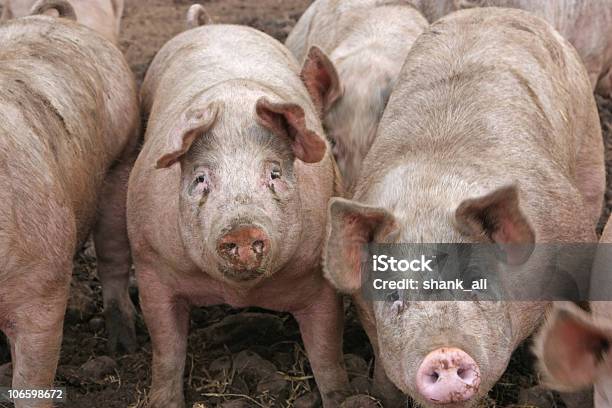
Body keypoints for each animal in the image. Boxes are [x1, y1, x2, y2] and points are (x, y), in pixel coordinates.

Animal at [0, 3, 139, 408]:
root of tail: (58, 20)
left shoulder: (42, 285)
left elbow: (32, 380)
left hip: (122, 160)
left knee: (113, 255)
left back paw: (125, 344)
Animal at [128, 15, 350, 408]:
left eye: (274, 173)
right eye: (201, 178)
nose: (242, 229)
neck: (238, 293)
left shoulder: (320, 280)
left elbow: (327, 354)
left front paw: (343, 396)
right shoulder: (150, 263)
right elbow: (167, 350)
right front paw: (163, 400)